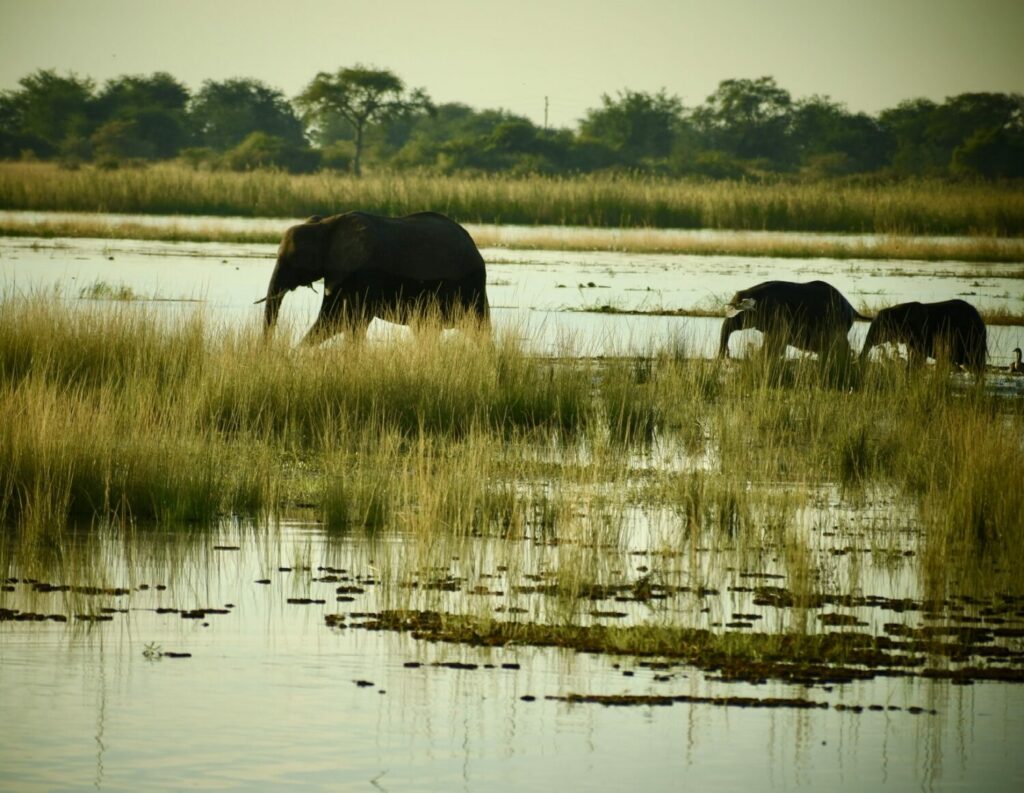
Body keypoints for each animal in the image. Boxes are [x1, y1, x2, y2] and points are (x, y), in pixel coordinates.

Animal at [262, 211, 489, 344]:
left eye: (293, 260)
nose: (268, 352)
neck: (327, 225)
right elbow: (331, 319)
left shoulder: (364, 272)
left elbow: (351, 320)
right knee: (426, 331)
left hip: (469, 285)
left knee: (478, 328)